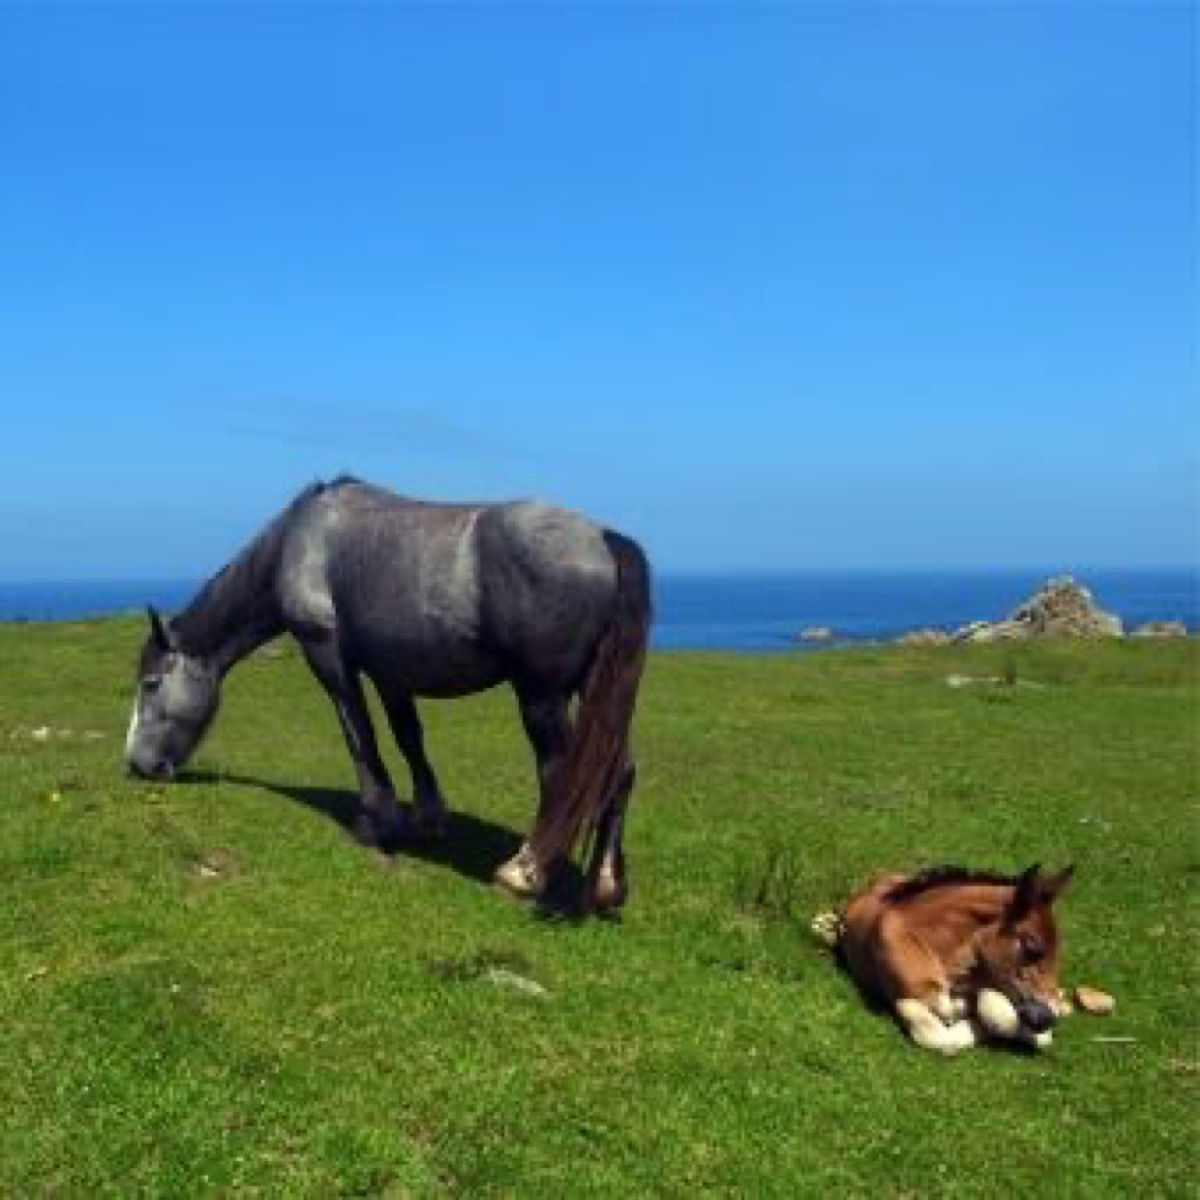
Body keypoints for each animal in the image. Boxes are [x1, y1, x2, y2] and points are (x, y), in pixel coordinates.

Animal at [124, 476, 652, 911]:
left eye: (151, 685)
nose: (137, 764)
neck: (304, 539)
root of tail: (604, 540)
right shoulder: (391, 672)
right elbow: (407, 737)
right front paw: (427, 820)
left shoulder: (328, 655)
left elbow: (358, 731)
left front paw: (376, 821)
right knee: (616, 771)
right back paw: (607, 886)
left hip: (542, 696)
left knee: (562, 774)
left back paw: (526, 871)